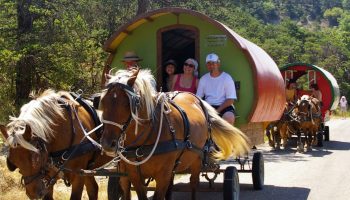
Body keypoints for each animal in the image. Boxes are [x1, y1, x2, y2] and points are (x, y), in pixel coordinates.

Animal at [100, 68, 250, 199]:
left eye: (128, 104)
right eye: (102, 102)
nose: (107, 144)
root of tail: (197, 99)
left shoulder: (163, 174)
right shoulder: (134, 175)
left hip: (197, 158)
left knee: (193, 183)